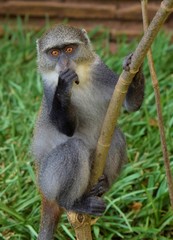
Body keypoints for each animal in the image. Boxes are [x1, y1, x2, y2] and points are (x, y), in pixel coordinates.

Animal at [31, 24, 145, 240]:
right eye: (54, 53)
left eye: (69, 49)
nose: (64, 63)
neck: (80, 79)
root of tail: (42, 192)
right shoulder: (49, 89)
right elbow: (67, 130)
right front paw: (64, 87)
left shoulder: (101, 71)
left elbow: (131, 105)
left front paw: (134, 70)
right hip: (49, 181)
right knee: (73, 148)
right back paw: (73, 203)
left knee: (115, 135)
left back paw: (103, 185)